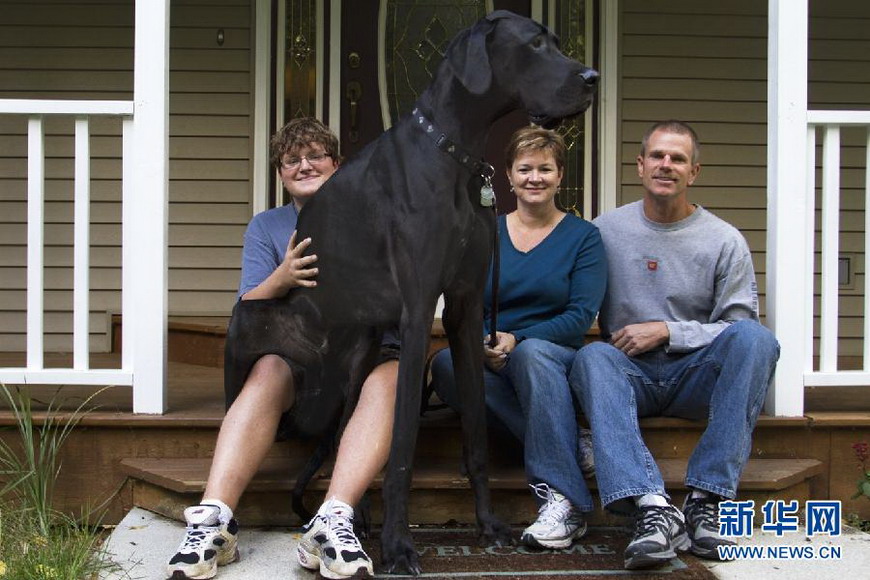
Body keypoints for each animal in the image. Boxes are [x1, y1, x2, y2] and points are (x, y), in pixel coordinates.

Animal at [227, 10, 600, 576]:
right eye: (535, 45)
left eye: (556, 41)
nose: (592, 78)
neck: (457, 154)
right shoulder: (422, 308)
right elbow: (402, 443)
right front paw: (400, 546)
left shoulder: (465, 310)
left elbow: (475, 434)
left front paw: (488, 525)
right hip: (249, 325)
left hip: (359, 357)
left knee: (341, 433)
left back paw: (351, 522)